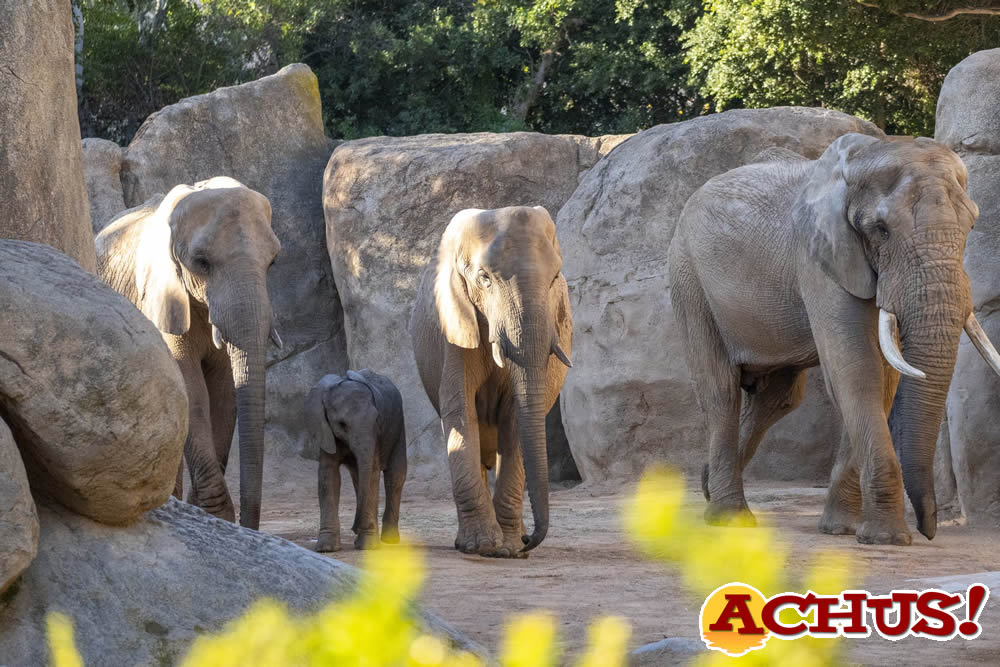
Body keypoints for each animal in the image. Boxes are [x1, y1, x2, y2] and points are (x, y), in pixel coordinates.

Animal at [96, 177, 282, 532]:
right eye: (201, 262)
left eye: (273, 262)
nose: (249, 526)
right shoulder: (162, 297)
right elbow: (191, 391)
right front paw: (217, 518)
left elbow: (224, 391)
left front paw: (209, 517)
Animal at [308, 368, 410, 552]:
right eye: (341, 424)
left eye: (377, 419)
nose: (353, 528)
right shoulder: (325, 431)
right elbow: (328, 476)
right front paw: (326, 548)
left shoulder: (376, 433)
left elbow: (373, 475)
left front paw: (368, 546)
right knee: (359, 477)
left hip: (399, 426)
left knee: (395, 476)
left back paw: (389, 540)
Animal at [410, 207, 576, 560]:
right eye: (484, 279)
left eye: (555, 279)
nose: (530, 542)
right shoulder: (454, 328)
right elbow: (461, 413)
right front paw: (482, 546)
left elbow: (515, 418)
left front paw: (509, 549)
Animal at [668, 136, 1000, 548]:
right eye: (881, 230)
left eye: (971, 225)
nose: (929, 530)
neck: (869, 155)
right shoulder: (819, 259)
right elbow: (857, 371)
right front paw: (888, 539)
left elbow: (881, 377)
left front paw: (840, 529)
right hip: (689, 278)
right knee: (721, 390)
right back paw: (731, 520)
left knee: (778, 398)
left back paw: (708, 485)